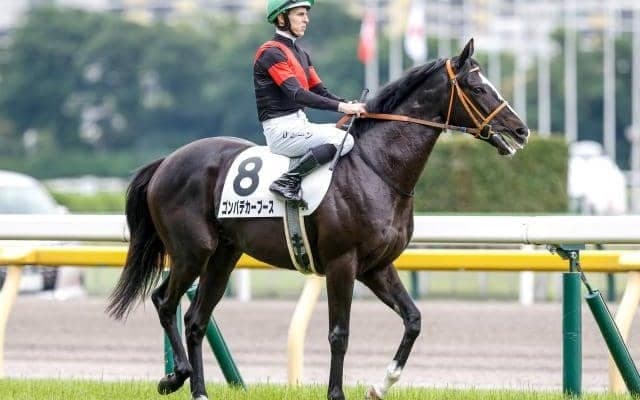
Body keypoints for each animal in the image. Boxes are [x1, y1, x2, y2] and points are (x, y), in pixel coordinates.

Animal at [107, 39, 529, 400]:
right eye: (476, 87)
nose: (521, 129)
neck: (377, 168)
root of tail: (167, 161)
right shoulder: (343, 263)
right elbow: (339, 333)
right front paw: (336, 393)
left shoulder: (377, 266)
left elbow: (413, 319)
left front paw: (381, 385)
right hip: (192, 251)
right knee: (165, 302)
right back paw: (174, 377)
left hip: (223, 257)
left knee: (196, 319)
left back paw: (199, 390)